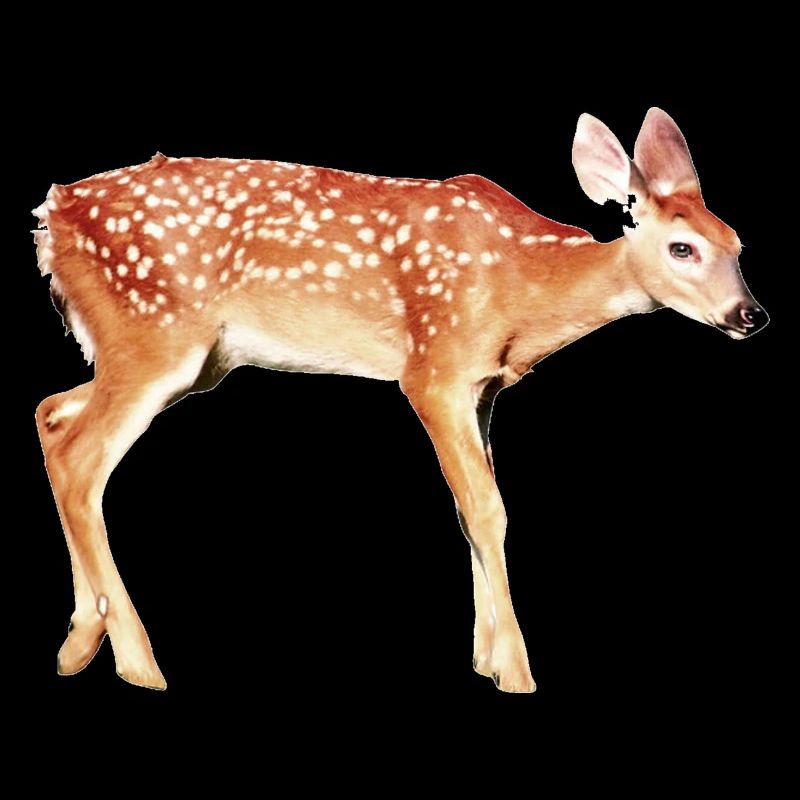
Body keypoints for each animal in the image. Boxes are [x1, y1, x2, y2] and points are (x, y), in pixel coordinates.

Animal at [32, 108, 767, 692]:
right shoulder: (434, 370)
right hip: (156, 337)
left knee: (52, 414)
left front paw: (485, 659)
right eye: (682, 248)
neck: (523, 287)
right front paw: (517, 672)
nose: (751, 315)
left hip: (177, 358)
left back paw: (78, 642)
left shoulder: (482, 390)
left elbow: (469, 513)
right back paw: (137, 663)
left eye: (737, 244)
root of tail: (51, 219)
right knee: (81, 460)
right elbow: (489, 511)